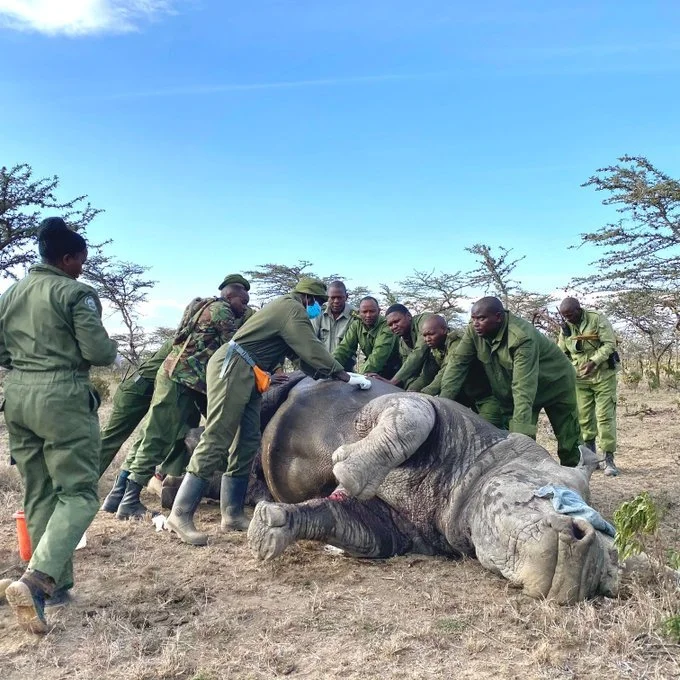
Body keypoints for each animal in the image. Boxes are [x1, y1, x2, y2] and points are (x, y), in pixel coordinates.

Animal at [240, 373, 620, 605]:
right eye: (557, 495)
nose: (591, 561)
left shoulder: (400, 532)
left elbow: (342, 522)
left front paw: (271, 527)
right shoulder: (402, 407)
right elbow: (414, 417)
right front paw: (348, 472)